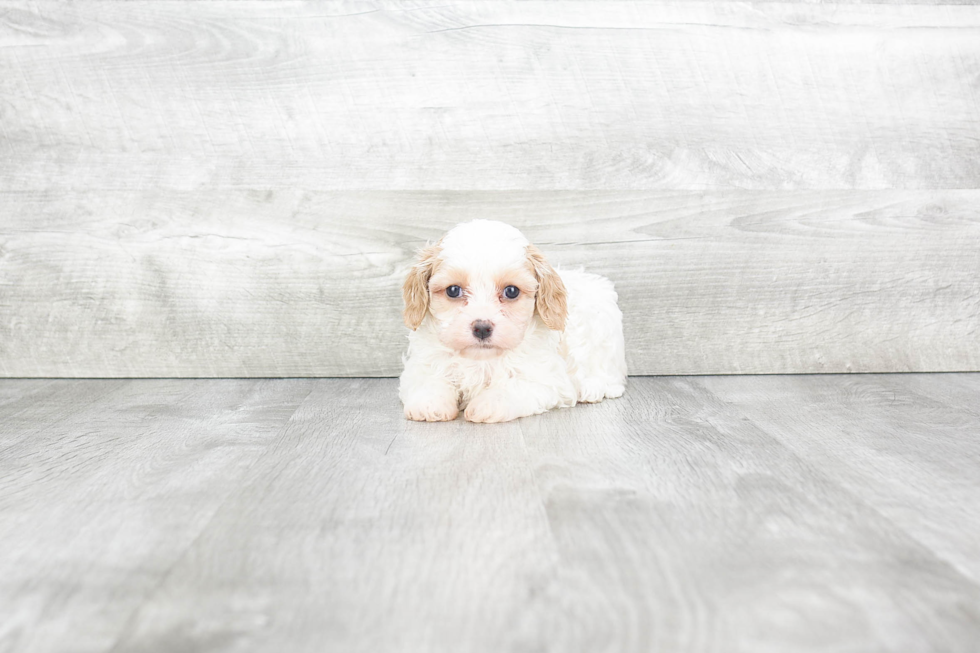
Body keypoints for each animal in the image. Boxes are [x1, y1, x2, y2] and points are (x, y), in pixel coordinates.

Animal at [398, 219, 628, 422]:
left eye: (511, 291)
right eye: (453, 290)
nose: (482, 328)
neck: (480, 360)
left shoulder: (543, 377)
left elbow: (513, 386)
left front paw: (487, 404)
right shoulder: (424, 363)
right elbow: (428, 379)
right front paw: (429, 404)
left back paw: (593, 388)